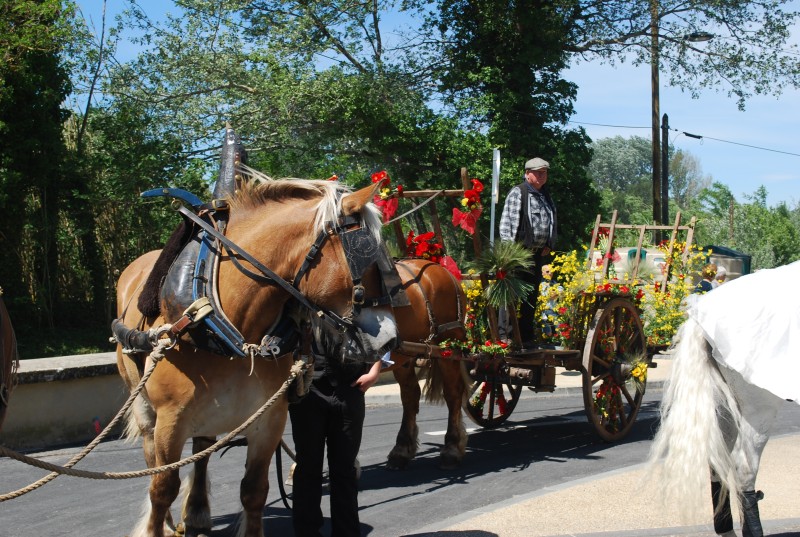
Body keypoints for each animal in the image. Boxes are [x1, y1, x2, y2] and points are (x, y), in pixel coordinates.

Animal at [115, 179, 396, 536]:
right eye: (368, 259)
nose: (391, 339)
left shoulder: (269, 418)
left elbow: (254, 490)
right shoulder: (171, 420)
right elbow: (163, 488)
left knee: (202, 449)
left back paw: (197, 513)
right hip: (144, 405)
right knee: (153, 461)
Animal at [382, 258, 468, 466]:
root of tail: (443, 268)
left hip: (448, 346)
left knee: (453, 392)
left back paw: (452, 447)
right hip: (404, 356)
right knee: (410, 395)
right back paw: (402, 448)